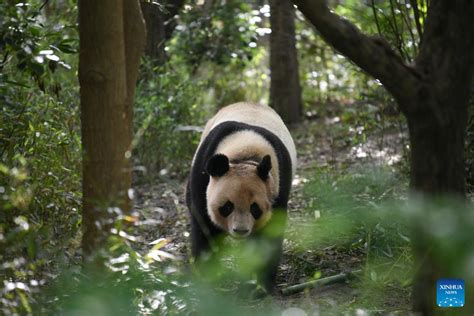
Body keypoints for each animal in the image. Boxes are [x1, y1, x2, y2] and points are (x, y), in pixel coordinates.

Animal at [186, 102, 294, 292]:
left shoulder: (278, 185)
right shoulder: (203, 171)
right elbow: (204, 227)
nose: (241, 230)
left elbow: (268, 236)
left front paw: (259, 287)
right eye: (227, 206)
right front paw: (206, 276)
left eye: (255, 208)